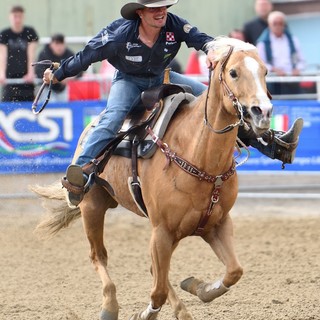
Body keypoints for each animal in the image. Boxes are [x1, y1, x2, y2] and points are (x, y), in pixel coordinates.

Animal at [32, 38, 272, 320]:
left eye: (265, 71)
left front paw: (199, 288)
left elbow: (234, 271)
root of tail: (90, 129)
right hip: (93, 207)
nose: (262, 112)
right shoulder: (162, 231)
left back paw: (182, 310)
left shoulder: (217, 224)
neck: (199, 158)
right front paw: (145, 314)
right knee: (98, 256)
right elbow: (157, 291)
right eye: (233, 72)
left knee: (156, 271)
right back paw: (110, 306)